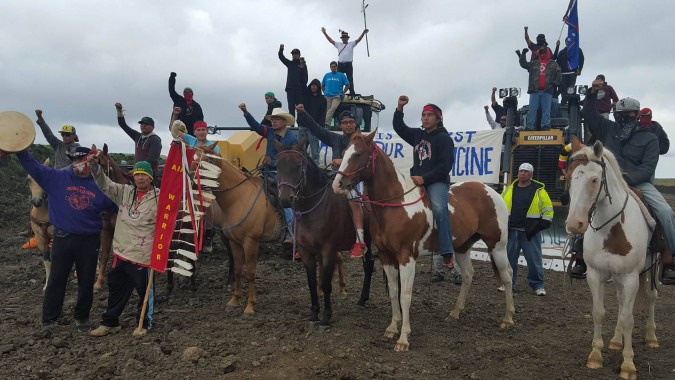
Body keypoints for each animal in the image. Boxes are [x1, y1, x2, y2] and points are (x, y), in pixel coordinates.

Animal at [274, 141, 378, 326]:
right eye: (278, 166)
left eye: (298, 166)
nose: (286, 199)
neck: (312, 209)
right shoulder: (306, 251)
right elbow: (312, 282)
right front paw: (314, 312)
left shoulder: (328, 249)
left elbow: (327, 283)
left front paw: (326, 315)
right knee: (369, 264)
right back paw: (362, 299)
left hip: (367, 238)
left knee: (369, 265)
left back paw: (362, 299)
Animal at [332, 131, 512, 354]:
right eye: (343, 153)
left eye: (357, 154)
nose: (337, 184)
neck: (396, 204)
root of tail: (492, 191)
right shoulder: (387, 257)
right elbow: (393, 292)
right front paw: (392, 328)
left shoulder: (406, 257)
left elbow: (405, 295)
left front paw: (403, 339)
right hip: (462, 247)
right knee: (469, 275)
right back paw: (455, 312)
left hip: (497, 246)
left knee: (507, 276)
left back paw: (508, 318)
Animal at [564, 140, 660, 380]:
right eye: (569, 177)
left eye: (594, 179)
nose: (574, 224)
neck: (612, 229)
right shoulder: (595, 274)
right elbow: (599, 313)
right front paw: (595, 356)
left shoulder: (631, 277)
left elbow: (628, 318)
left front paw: (628, 365)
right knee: (620, 301)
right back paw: (616, 340)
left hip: (652, 267)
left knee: (651, 297)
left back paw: (651, 336)